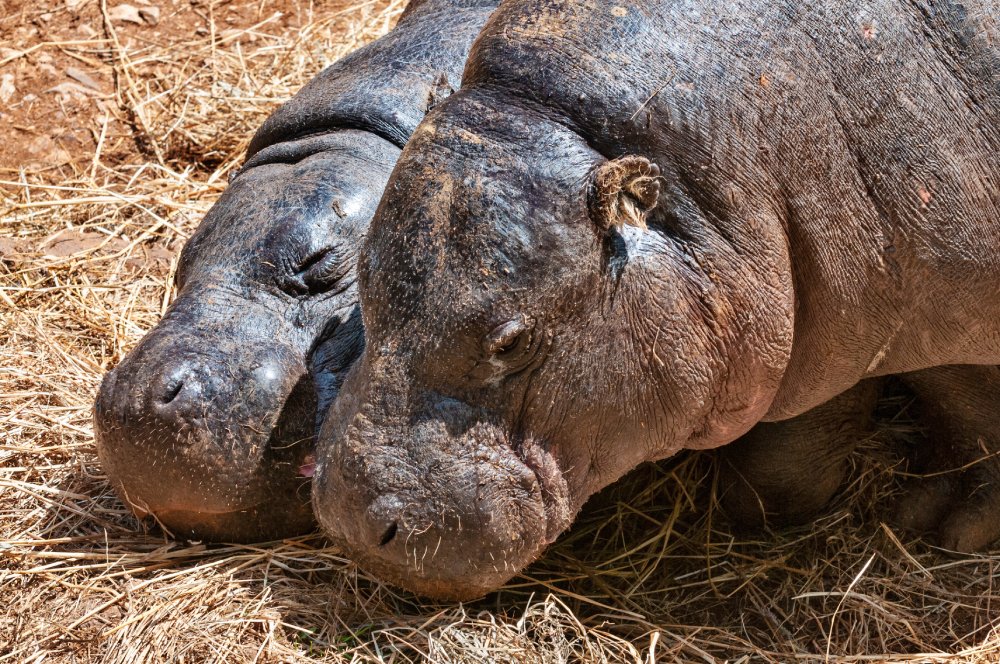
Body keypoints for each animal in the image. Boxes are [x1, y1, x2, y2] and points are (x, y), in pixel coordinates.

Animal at [313, 0, 1000, 599]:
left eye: (512, 341)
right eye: (361, 275)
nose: (351, 522)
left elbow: (967, 402)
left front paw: (948, 527)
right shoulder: (833, 324)